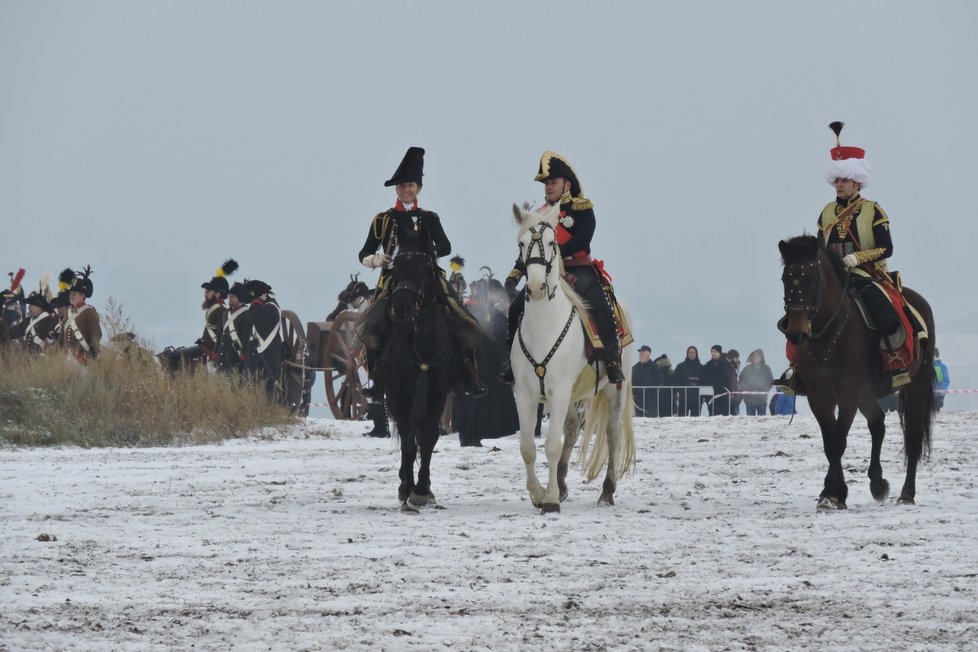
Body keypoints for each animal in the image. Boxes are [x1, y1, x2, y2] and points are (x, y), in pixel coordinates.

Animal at [384, 227, 456, 512]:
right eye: (395, 265)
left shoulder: (437, 394)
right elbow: (407, 437)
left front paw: (422, 490)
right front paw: (407, 488)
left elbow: (427, 437)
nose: (402, 308)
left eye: (424, 267)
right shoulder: (398, 393)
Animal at [508, 201, 636, 512]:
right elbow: (527, 448)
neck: (543, 327)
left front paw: (551, 500)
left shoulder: (560, 390)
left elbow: (552, 445)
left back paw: (606, 492)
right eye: (521, 244)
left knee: (612, 434)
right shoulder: (525, 394)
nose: (536, 288)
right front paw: (538, 493)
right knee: (573, 428)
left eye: (551, 243)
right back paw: (564, 484)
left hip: (615, 387)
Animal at [776, 234, 932, 510]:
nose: (796, 333)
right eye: (786, 278)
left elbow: (838, 442)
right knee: (878, 424)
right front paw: (833, 492)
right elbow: (829, 444)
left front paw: (832, 493)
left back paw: (907, 494)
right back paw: (878, 483)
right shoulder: (820, 398)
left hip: (917, 385)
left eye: (812, 277)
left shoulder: (848, 396)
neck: (828, 336)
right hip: (867, 395)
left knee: (913, 436)